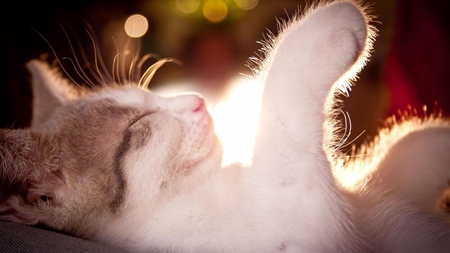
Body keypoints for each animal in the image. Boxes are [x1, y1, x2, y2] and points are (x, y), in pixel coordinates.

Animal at [0, 0, 450, 252]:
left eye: (150, 97)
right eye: (142, 123)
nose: (197, 100)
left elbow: (404, 151)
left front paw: (437, 141)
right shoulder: (299, 223)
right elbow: (279, 116)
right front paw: (327, 28)